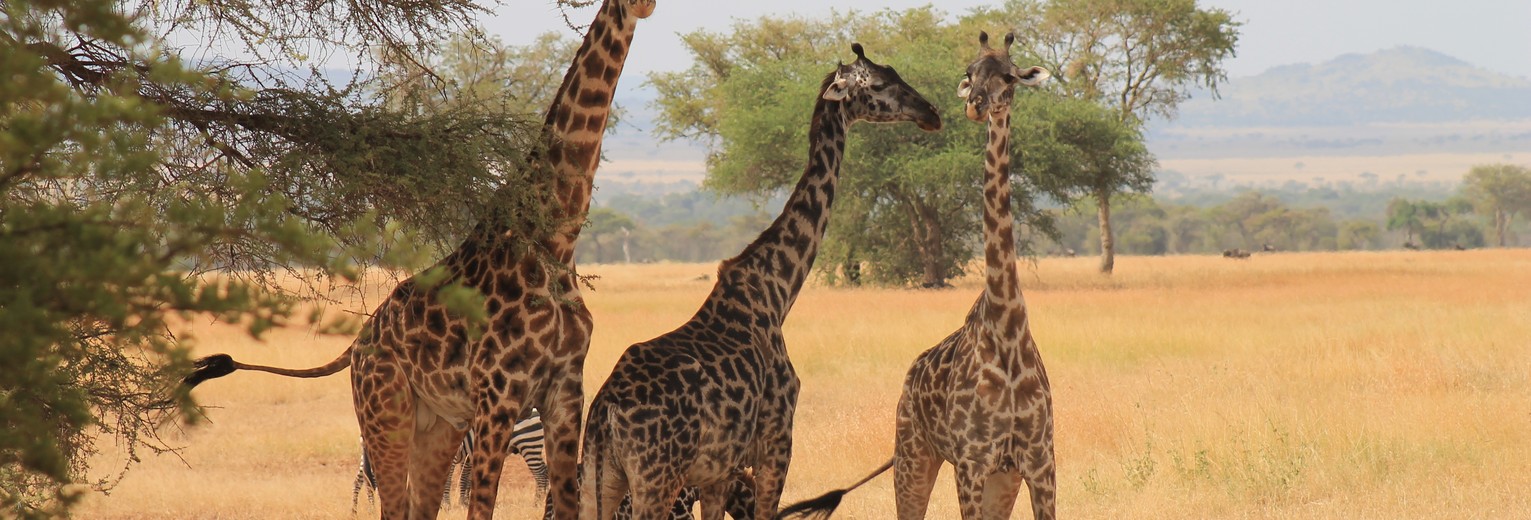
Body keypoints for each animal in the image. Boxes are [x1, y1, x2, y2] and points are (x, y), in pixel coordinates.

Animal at [179, 1, 656, 518]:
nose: (647, 8)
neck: (554, 245)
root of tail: (357, 344)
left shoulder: (566, 390)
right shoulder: (498, 393)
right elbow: (481, 508)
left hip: (439, 423)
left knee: (418, 504)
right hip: (385, 411)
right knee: (391, 503)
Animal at [576, 44, 941, 520]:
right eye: (878, 84)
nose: (931, 113)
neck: (777, 290)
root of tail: (607, 413)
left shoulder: (719, 471)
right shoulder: (776, 440)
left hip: (599, 479)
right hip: (656, 479)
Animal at [776, 32, 1052, 520]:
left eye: (1008, 75)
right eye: (969, 72)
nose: (975, 105)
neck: (1008, 331)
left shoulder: (1040, 461)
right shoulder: (972, 461)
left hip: (1002, 477)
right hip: (913, 454)